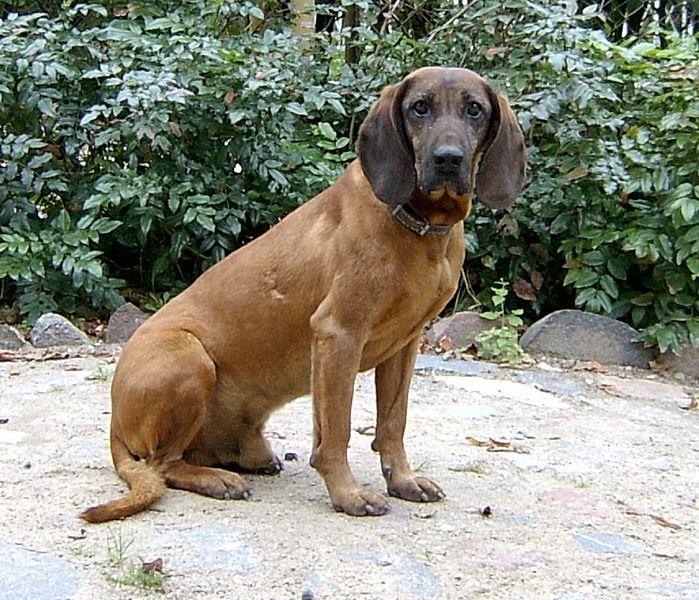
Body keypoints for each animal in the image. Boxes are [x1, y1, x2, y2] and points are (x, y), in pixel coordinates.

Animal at [80, 65, 524, 524]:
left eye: (474, 109)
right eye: (420, 107)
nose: (448, 159)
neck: (419, 226)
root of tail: (114, 425)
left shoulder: (405, 344)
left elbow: (392, 424)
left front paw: (402, 480)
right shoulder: (338, 334)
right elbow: (337, 432)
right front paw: (348, 493)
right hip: (188, 356)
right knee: (162, 465)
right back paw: (215, 479)